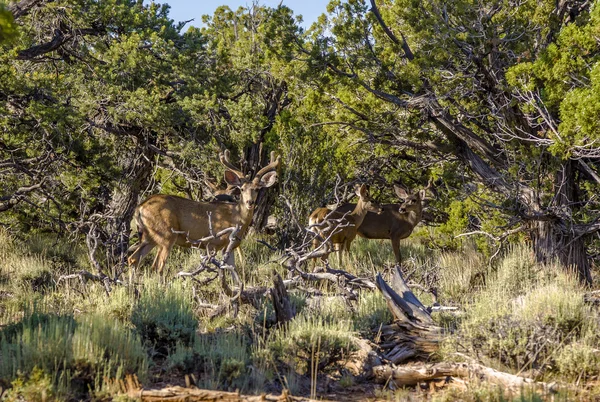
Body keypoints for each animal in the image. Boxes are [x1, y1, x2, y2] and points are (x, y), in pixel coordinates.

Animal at [127, 149, 280, 274]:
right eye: (241, 189)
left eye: (257, 189)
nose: (250, 202)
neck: (235, 217)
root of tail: (140, 207)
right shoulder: (212, 242)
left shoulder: (230, 246)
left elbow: (232, 269)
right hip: (166, 235)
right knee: (157, 266)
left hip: (149, 237)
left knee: (133, 259)